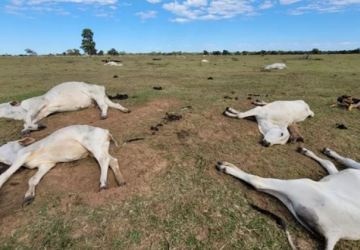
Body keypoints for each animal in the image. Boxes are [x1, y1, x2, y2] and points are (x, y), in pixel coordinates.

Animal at [0, 81, 131, 135]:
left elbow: (27, 119)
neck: (21, 110)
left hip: (96, 95)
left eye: (1, 105)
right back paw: (125, 110)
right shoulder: (44, 112)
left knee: (104, 106)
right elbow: (30, 121)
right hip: (101, 98)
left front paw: (33, 127)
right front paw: (29, 129)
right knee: (115, 105)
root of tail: (100, 86)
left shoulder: (38, 104)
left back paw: (103, 115)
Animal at [217, 146, 360, 250]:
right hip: (291, 198)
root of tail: (335, 234)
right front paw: (311, 151)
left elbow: (342, 161)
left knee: (257, 182)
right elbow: (331, 164)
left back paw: (225, 167)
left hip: (301, 185)